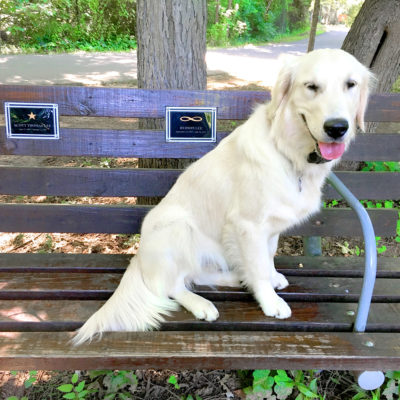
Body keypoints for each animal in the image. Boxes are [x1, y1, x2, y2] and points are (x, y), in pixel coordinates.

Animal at [72, 48, 372, 346]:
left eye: (351, 85)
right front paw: (270, 300)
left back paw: (235, 277)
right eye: (311, 86)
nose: (337, 127)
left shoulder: (271, 225)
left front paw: (270, 276)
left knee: (196, 274)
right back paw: (201, 304)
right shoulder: (248, 224)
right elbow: (258, 265)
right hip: (177, 227)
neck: (288, 151)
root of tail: (140, 258)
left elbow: (268, 255)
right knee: (171, 285)